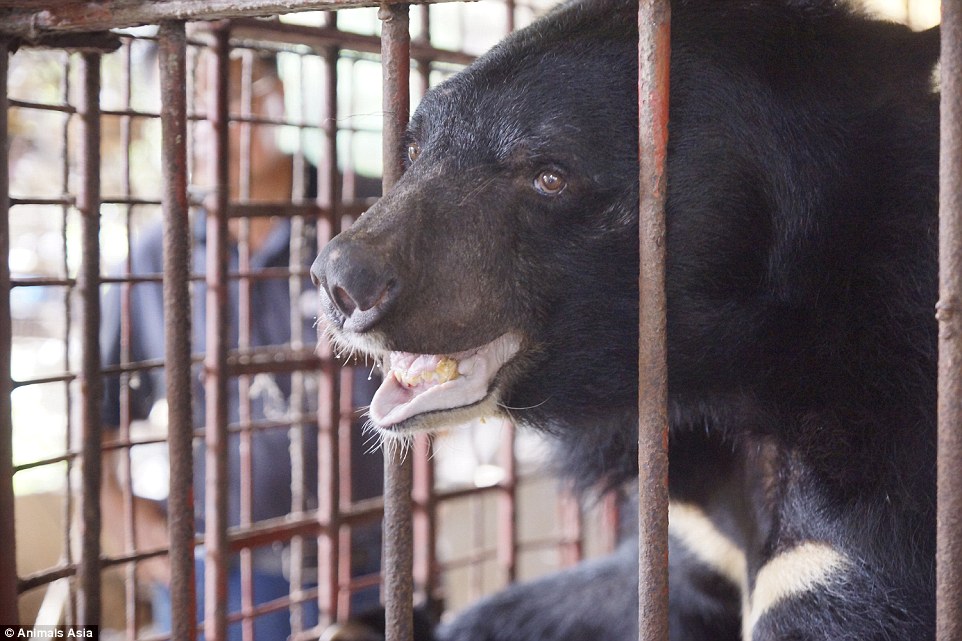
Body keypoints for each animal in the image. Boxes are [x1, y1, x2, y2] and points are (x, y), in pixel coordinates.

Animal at [314, 1, 936, 636]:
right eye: (415, 151)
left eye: (550, 176)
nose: (341, 281)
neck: (729, 376)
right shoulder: (695, 528)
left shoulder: (861, 521)